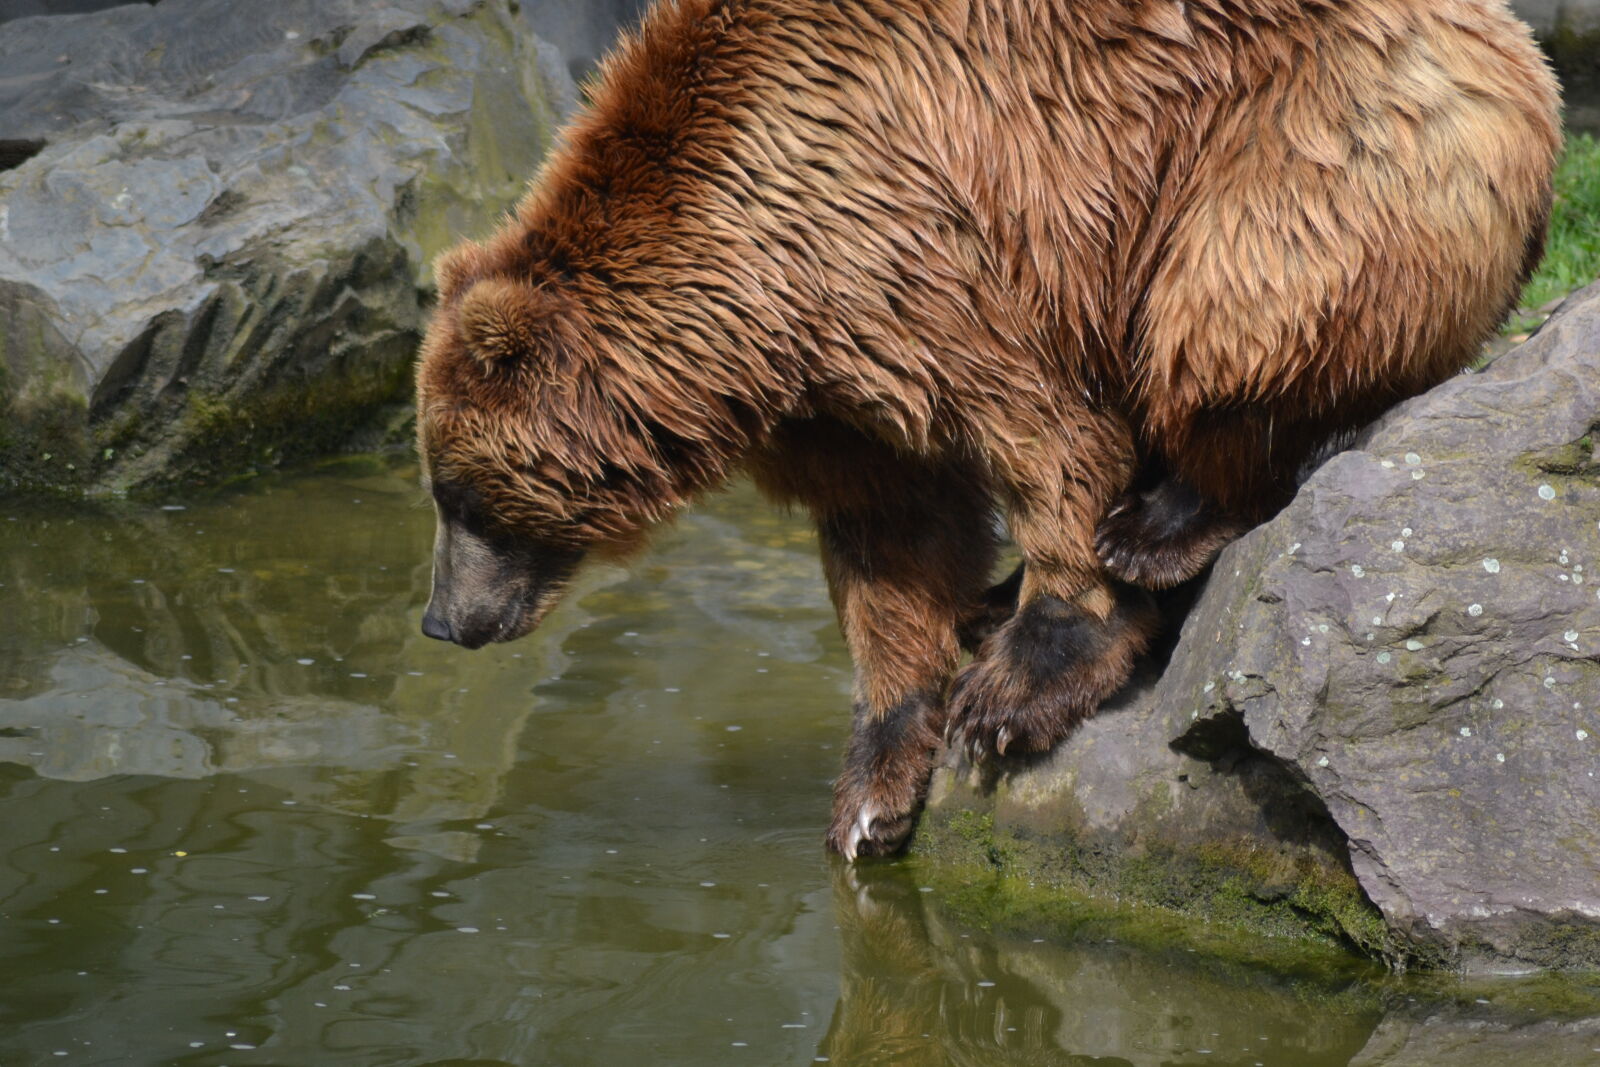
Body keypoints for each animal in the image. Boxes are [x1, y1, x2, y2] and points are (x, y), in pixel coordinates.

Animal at [415, 0, 1559, 860]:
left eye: (458, 495)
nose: (440, 619)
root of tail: (1519, 52)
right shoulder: (831, 391)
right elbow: (889, 543)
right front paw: (872, 785)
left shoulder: (919, 242)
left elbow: (1047, 440)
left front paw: (1018, 684)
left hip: (1312, 130)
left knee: (1239, 303)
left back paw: (1162, 522)